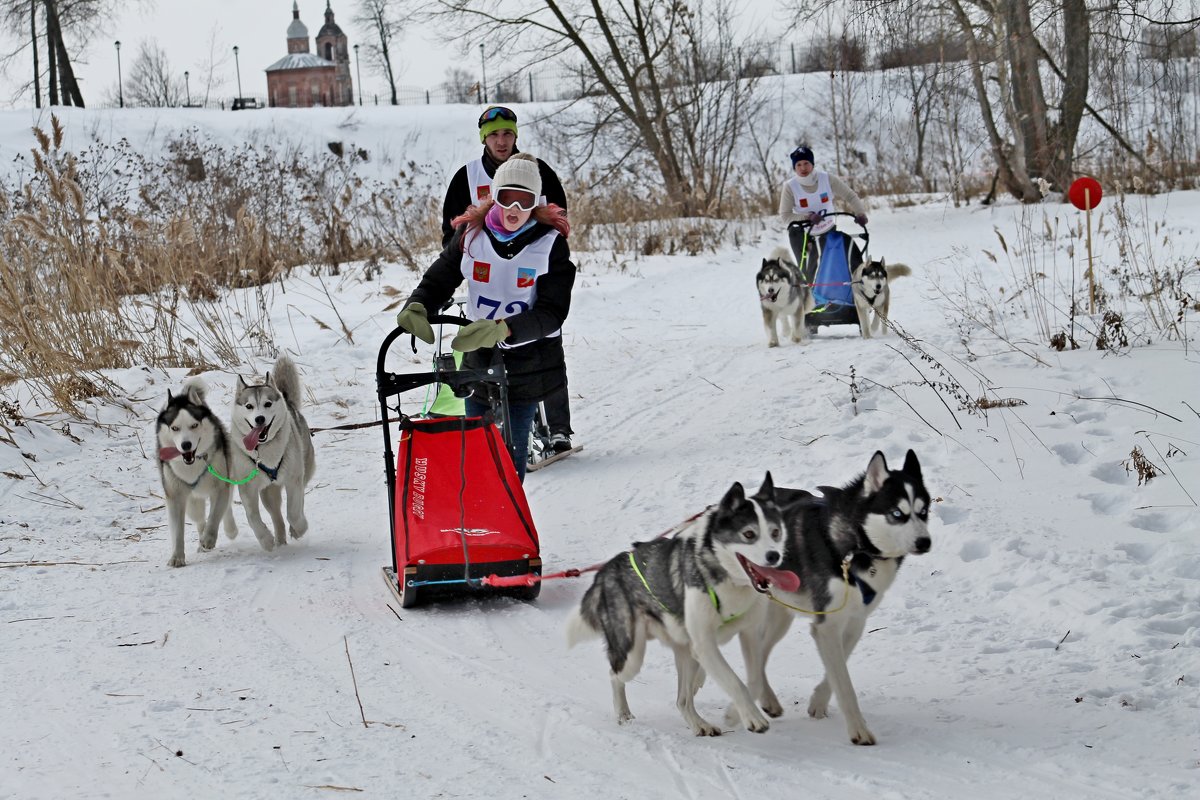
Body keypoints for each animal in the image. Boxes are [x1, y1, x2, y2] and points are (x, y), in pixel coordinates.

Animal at [156, 379, 237, 566]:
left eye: (194, 425)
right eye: (175, 428)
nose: (186, 445)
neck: (193, 464)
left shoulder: (220, 485)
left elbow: (215, 515)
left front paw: (209, 538)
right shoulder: (175, 495)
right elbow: (178, 531)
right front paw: (177, 556)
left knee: (226, 506)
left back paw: (229, 530)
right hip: (192, 501)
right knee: (200, 518)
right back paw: (201, 538)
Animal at [230, 355, 316, 551]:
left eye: (267, 404)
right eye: (249, 406)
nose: (259, 419)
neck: (264, 449)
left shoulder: (293, 480)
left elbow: (293, 512)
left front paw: (299, 528)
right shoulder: (247, 487)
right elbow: (253, 518)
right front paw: (265, 540)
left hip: (302, 472)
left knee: (297, 504)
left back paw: (293, 530)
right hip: (268, 492)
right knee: (276, 515)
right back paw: (279, 539)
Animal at [566, 474, 801, 738]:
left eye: (775, 532)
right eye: (749, 534)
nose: (774, 556)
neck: (726, 578)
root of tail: (605, 571)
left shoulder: (749, 634)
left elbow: (755, 679)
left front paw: (734, 713)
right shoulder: (705, 644)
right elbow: (734, 681)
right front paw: (750, 716)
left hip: (684, 651)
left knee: (683, 699)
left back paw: (699, 723)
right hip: (633, 654)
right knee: (615, 675)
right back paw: (623, 713)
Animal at [729, 453, 936, 748]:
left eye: (923, 511)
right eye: (898, 513)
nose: (924, 542)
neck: (857, 547)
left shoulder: (853, 621)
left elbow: (837, 668)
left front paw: (818, 701)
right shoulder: (827, 626)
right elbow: (845, 684)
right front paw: (859, 730)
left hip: (781, 617)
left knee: (761, 653)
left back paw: (767, 700)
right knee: (756, 655)